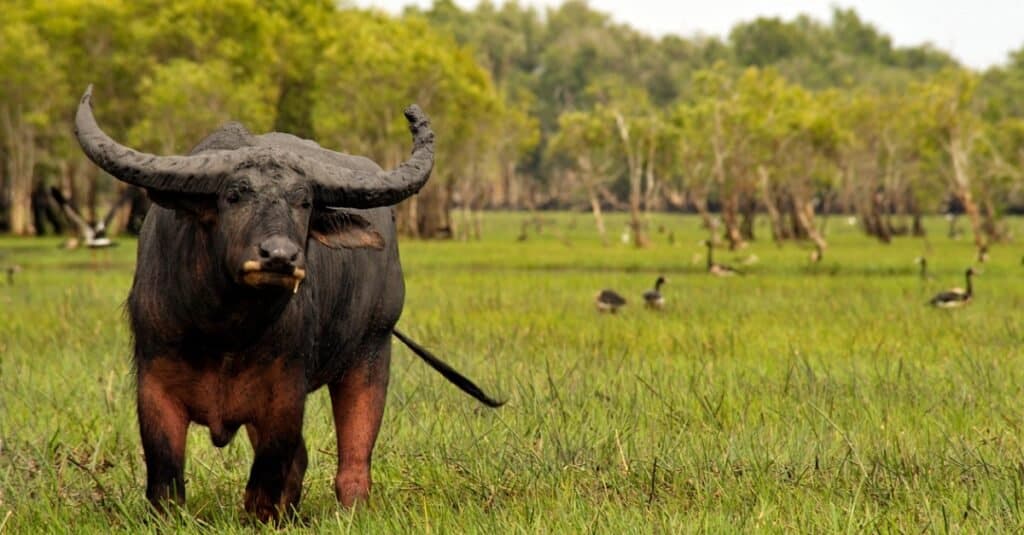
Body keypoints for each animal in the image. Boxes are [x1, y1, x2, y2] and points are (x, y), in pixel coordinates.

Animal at [71, 86, 499, 516]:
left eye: (304, 201)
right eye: (234, 194)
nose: (279, 256)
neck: (225, 330)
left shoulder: (285, 394)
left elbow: (267, 481)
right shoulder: (155, 387)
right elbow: (165, 482)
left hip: (372, 350)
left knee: (353, 460)